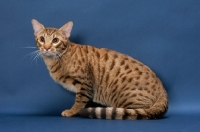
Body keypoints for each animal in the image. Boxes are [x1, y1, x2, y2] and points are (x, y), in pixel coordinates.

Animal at [30, 18, 167, 119]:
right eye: (42, 39)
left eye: (55, 40)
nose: (46, 47)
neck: (57, 60)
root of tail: (163, 90)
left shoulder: (85, 83)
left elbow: (79, 101)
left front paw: (71, 111)